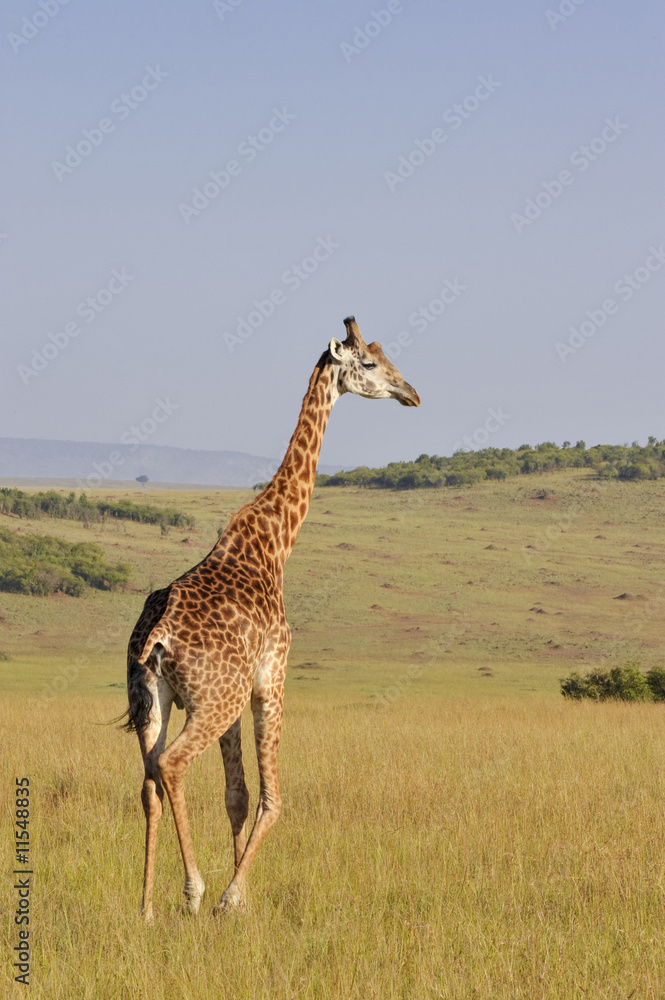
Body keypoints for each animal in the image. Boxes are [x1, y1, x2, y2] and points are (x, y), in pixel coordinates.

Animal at [123, 316, 420, 921]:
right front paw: (233, 896)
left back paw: (144, 907)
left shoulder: (242, 694)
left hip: (152, 700)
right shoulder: (272, 676)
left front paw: (243, 895)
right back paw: (194, 891)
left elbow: (236, 795)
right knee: (172, 766)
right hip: (214, 699)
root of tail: (157, 639)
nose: (412, 394)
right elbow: (271, 798)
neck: (276, 541)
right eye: (371, 363)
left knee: (147, 780)